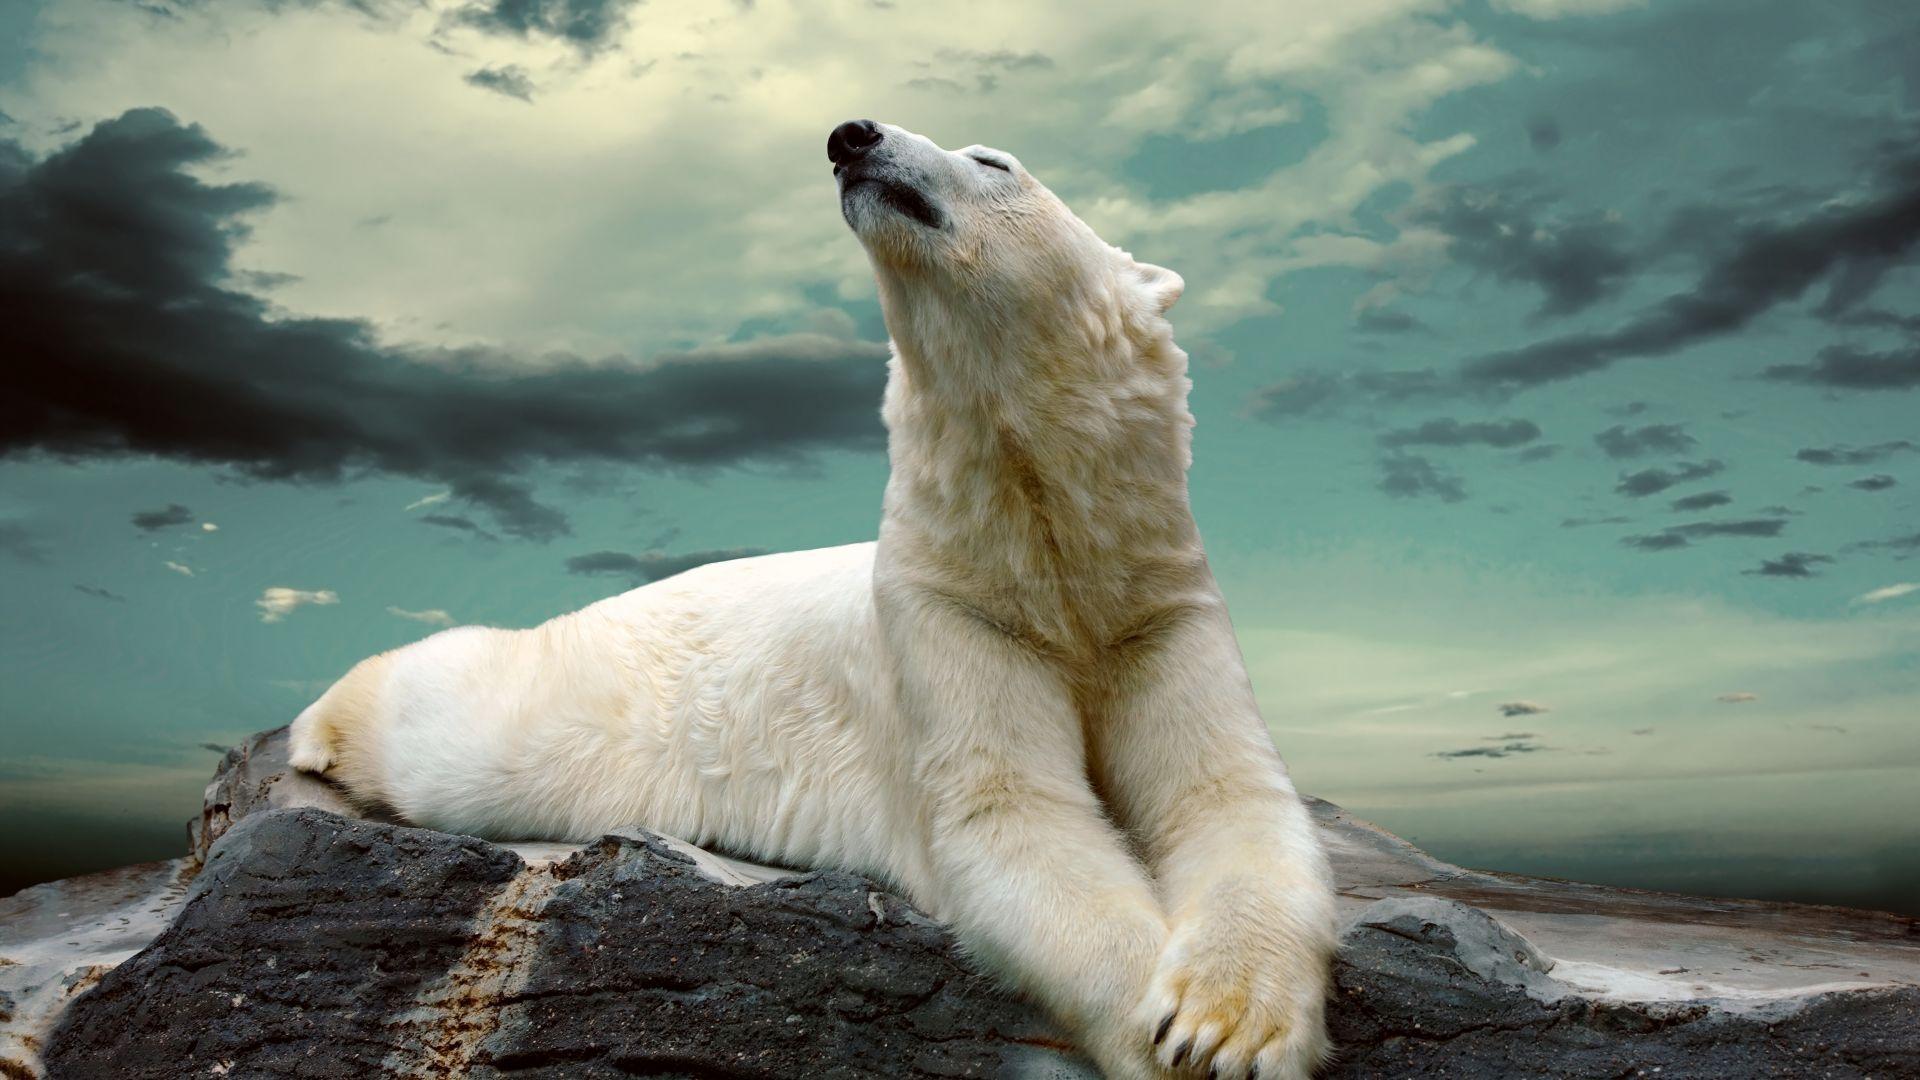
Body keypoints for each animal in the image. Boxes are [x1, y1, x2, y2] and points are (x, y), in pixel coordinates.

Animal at [290, 119, 1336, 1080]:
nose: (851, 136)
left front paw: (1226, 1023)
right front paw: (1180, 1041)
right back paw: (317, 731)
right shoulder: (946, 613)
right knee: (456, 728)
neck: (1045, 549)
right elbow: (1013, 816)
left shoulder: (1155, 605)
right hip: (578, 703)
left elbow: (1230, 797)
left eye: (994, 160)